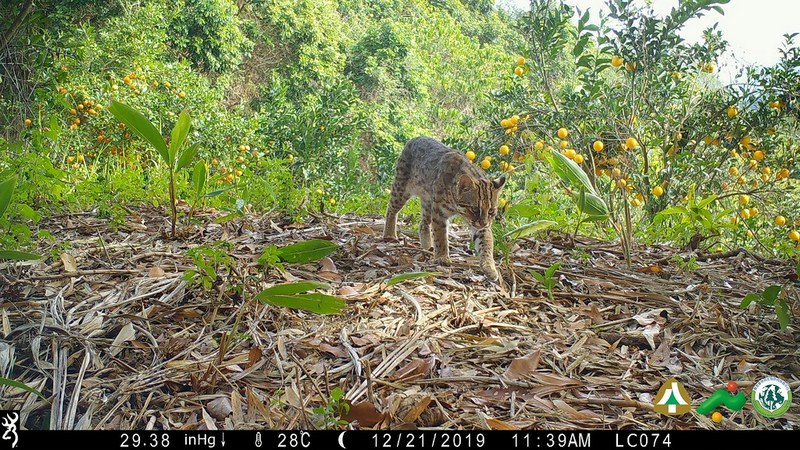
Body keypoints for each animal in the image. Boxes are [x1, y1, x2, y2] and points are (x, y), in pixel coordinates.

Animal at [382, 136, 506, 282]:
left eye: (491, 211)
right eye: (475, 209)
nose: (484, 223)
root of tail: (416, 137)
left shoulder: (479, 226)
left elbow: (486, 243)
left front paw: (490, 267)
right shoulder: (439, 212)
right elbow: (440, 235)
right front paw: (442, 258)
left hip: (427, 201)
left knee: (423, 223)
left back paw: (427, 246)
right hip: (401, 189)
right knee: (391, 208)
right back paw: (389, 235)